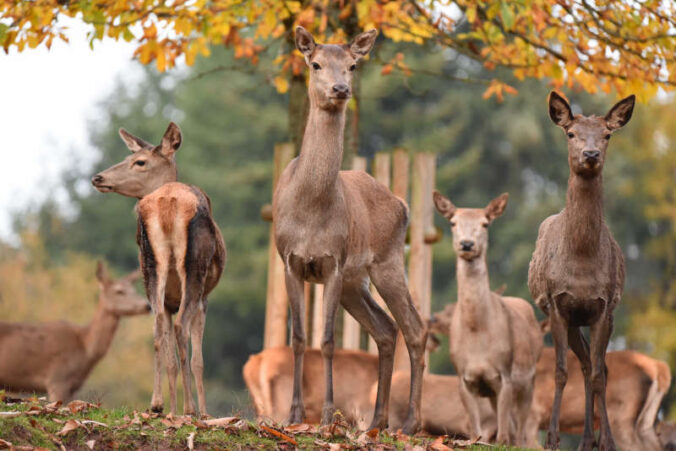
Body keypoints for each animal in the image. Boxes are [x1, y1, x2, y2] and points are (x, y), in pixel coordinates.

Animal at [0, 262, 149, 402]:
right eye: (119, 291)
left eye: (134, 290)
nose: (147, 305)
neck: (84, 348)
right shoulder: (57, 379)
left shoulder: (72, 387)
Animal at [90, 122, 228, 416]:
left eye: (139, 161)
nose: (97, 177)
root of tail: (168, 200)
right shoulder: (205, 298)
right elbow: (198, 359)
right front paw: (204, 411)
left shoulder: (164, 298)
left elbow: (167, 351)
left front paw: (164, 405)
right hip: (194, 269)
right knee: (180, 327)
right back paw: (189, 409)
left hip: (151, 266)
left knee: (156, 330)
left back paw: (160, 405)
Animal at [270, 25, 426, 434]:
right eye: (316, 63)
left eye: (353, 66)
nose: (340, 88)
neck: (311, 211)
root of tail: (402, 204)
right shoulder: (289, 260)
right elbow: (298, 338)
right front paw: (293, 416)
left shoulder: (334, 263)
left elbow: (327, 341)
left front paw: (326, 416)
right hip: (357, 282)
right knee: (386, 329)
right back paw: (378, 420)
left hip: (387, 261)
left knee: (415, 329)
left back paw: (410, 423)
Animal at [434, 192, 544, 446]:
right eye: (453, 222)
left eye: (485, 223)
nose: (467, 244)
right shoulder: (464, 377)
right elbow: (476, 432)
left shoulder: (505, 373)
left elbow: (503, 437)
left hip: (529, 379)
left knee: (521, 431)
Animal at [528, 92, 632, 451]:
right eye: (571, 133)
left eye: (607, 134)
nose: (591, 155)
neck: (582, 262)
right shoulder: (558, 305)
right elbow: (561, 371)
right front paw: (552, 438)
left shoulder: (604, 308)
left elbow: (601, 374)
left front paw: (609, 441)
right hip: (570, 319)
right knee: (585, 364)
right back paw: (585, 439)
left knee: (597, 368)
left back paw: (592, 439)